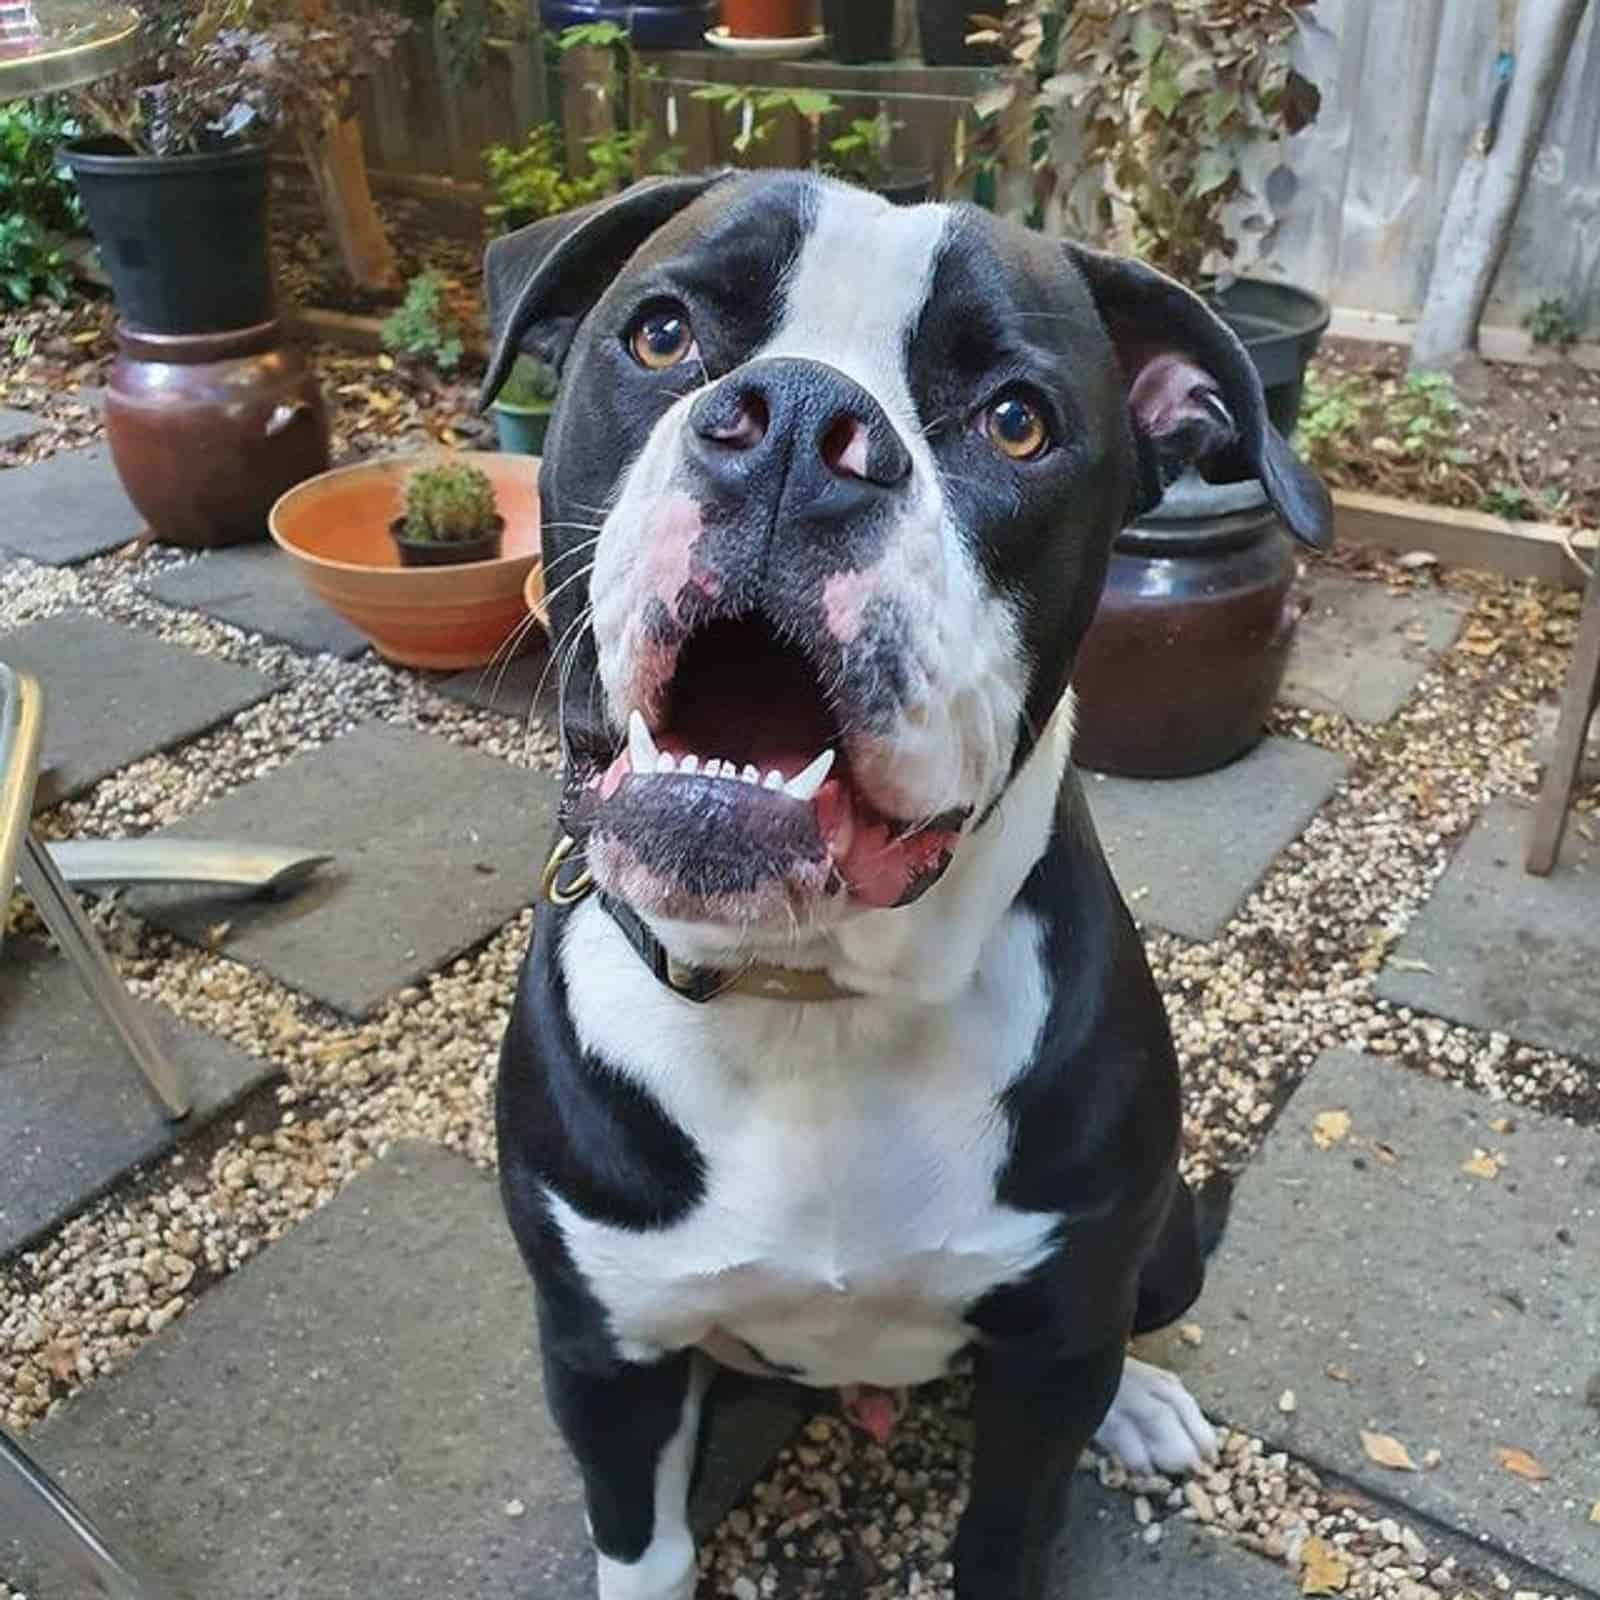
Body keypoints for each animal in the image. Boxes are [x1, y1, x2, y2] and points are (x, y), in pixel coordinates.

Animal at [480, 168, 1331, 1593]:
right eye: (660, 335)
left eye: (1016, 421)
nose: (794, 424)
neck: (808, 999)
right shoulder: (601, 1350)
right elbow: (643, 1543)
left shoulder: (1050, 1347)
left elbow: (1009, 1523)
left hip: (1152, 1255)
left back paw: (1143, 1404)